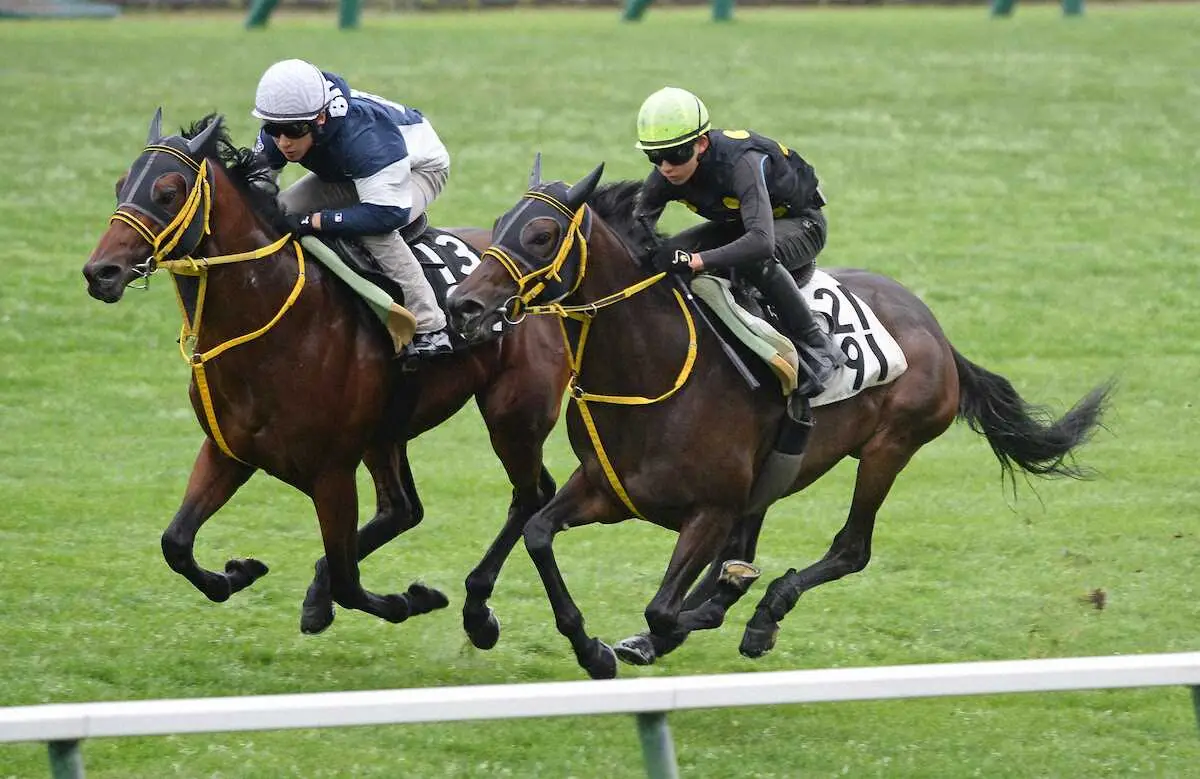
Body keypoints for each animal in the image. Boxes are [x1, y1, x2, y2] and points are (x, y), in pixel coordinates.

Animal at [82, 111, 568, 643]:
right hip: (391, 433)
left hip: (513, 416)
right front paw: (237, 573)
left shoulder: (332, 473)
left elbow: (349, 582)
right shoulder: (228, 450)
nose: (100, 272)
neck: (273, 321)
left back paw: (477, 612)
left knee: (529, 495)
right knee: (407, 508)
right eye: (120, 185)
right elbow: (176, 542)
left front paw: (411, 599)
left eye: (167, 192)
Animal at [446, 160, 1108, 676]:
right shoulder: (607, 490)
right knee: (747, 554)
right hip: (778, 474)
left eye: (541, 233)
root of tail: (935, 329)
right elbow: (538, 532)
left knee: (851, 549)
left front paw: (657, 632)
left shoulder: (710, 508)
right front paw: (592, 648)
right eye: (499, 225)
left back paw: (763, 614)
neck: (652, 369)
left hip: (889, 447)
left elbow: (662, 606)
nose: (463, 304)